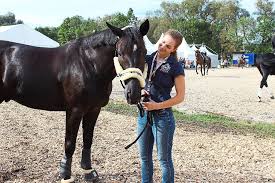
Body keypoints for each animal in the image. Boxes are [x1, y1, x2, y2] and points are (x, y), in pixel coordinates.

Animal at [0, 19, 150, 182]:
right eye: (120, 53)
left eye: (144, 51)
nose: (133, 93)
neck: (87, 64)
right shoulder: (74, 110)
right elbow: (70, 143)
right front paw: (65, 175)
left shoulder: (94, 109)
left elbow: (88, 139)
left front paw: (88, 171)